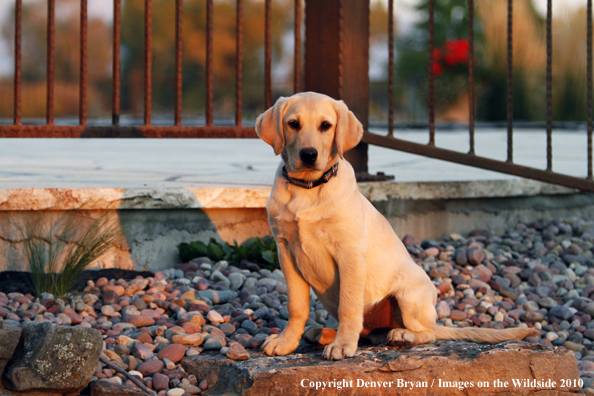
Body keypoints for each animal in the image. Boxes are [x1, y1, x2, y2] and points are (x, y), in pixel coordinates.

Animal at [254, 92, 536, 358]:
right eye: (293, 124)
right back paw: (322, 332)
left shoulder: (349, 253)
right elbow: (297, 306)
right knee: (368, 333)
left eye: (326, 125)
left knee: (426, 332)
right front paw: (286, 341)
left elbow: (348, 305)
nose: (308, 154)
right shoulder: (286, 250)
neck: (308, 188)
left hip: (409, 296)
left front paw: (343, 346)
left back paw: (401, 335)